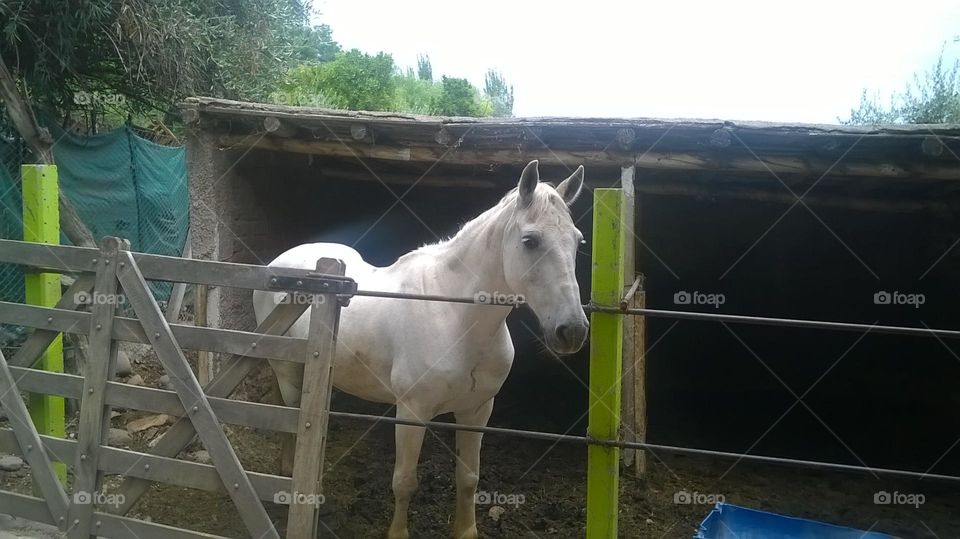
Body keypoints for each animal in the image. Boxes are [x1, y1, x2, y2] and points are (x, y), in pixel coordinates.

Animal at [252, 160, 589, 538]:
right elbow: (404, 482)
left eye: (577, 240)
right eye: (530, 241)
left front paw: (466, 531)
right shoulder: (412, 412)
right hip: (287, 371)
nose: (572, 331)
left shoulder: (477, 411)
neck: (457, 318)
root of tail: (278, 263)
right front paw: (398, 533)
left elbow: (468, 478)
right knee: (290, 418)